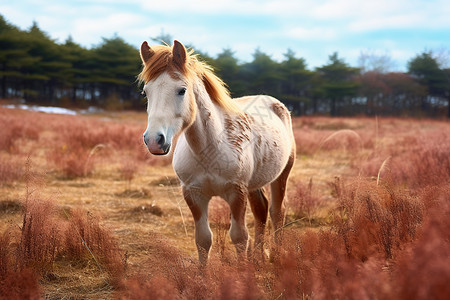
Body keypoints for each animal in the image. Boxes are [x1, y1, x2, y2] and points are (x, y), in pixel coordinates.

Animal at [139, 40, 298, 264]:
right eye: (146, 92)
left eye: (181, 90)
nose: (154, 140)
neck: (209, 148)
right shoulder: (193, 194)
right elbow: (203, 239)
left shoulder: (236, 192)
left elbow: (239, 237)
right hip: (254, 183)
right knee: (261, 210)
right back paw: (258, 256)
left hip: (282, 174)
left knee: (277, 212)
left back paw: (277, 254)